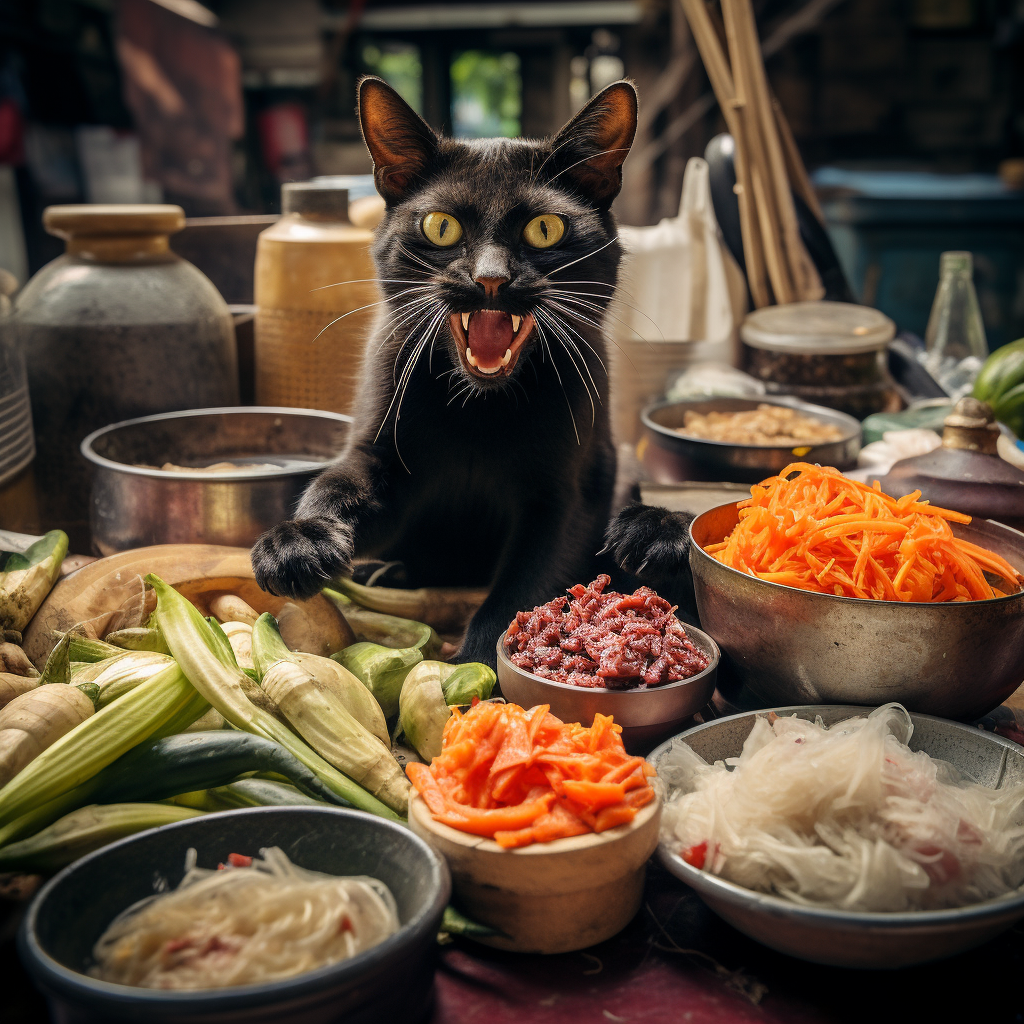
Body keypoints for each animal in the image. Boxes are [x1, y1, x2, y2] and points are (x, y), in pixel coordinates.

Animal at [250, 74, 643, 663]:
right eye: (442, 227)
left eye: (545, 229)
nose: (491, 278)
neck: (479, 408)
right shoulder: (380, 456)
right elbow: (336, 485)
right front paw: (298, 540)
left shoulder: (568, 494)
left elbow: (521, 592)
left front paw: (476, 665)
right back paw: (384, 573)